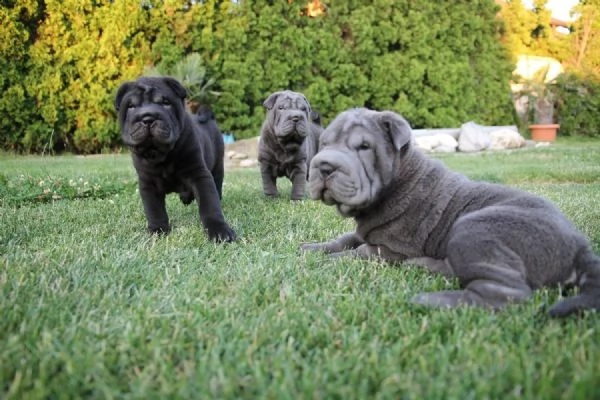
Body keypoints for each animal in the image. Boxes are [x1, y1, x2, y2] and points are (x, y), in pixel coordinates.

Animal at [113, 76, 236, 242]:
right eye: (131, 106)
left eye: (166, 103)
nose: (148, 117)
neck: (162, 155)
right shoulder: (147, 183)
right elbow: (154, 210)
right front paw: (157, 230)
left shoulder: (199, 174)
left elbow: (209, 204)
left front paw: (219, 231)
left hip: (217, 166)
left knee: (217, 187)